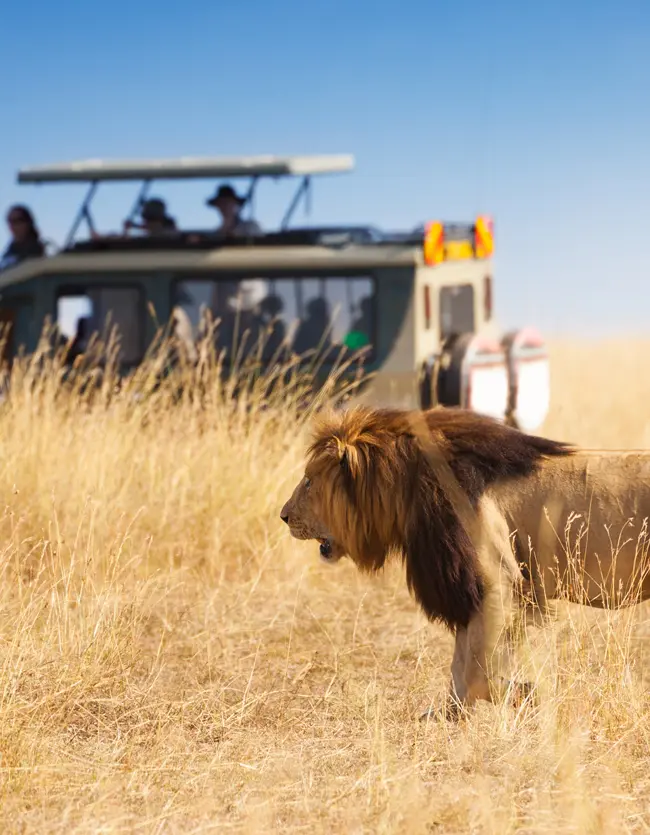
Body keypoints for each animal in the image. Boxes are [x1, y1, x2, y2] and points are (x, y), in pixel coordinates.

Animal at [280, 404, 650, 720]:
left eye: (309, 481)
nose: (284, 516)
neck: (409, 487)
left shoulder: (498, 584)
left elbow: (478, 672)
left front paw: (524, 693)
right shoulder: (464, 589)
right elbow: (460, 664)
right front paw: (447, 715)